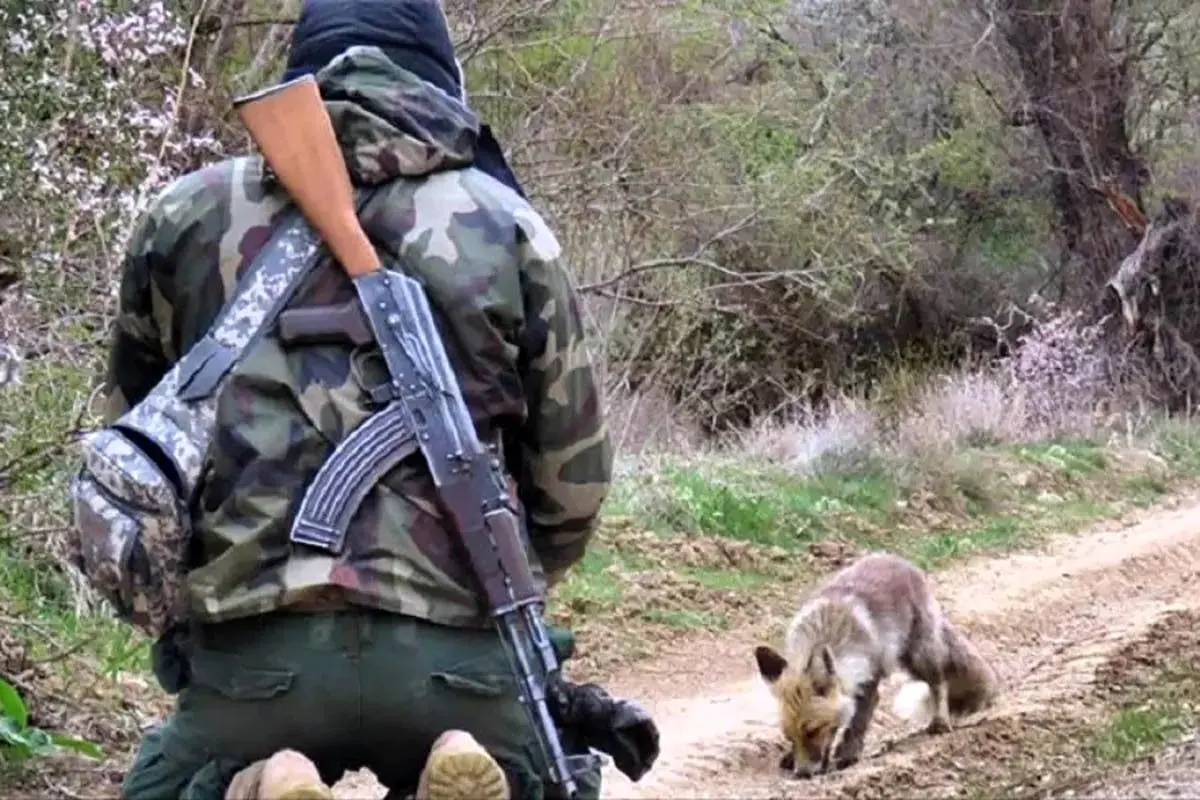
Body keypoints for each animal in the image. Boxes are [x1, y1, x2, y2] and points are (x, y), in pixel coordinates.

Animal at [753, 554, 998, 777]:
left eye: (813, 731)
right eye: (789, 737)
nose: (802, 773)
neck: (826, 632)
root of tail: (896, 558)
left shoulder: (868, 679)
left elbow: (857, 723)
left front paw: (848, 755)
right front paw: (794, 757)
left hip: (919, 656)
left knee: (939, 682)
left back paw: (940, 722)